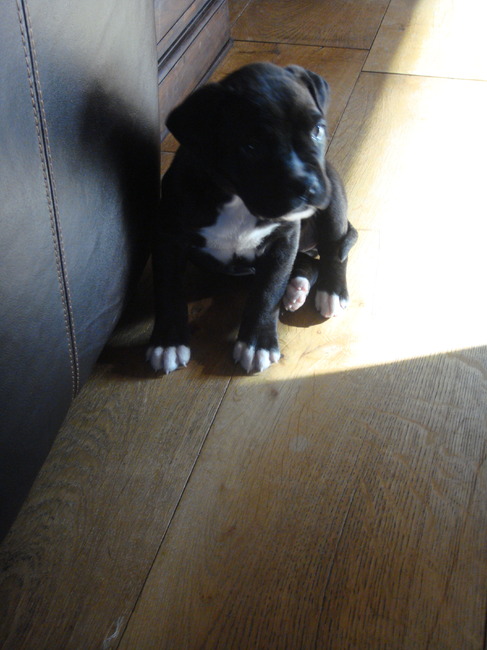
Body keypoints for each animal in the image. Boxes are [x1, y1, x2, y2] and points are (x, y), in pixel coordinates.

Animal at [147, 62, 357, 374]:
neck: (238, 201)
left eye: (318, 130)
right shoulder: (168, 238)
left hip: (331, 201)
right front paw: (168, 343)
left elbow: (267, 291)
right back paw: (296, 288)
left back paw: (330, 292)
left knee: (334, 249)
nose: (306, 186)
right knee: (308, 262)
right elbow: (168, 289)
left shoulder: (283, 240)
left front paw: (258, 343)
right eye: (251, 147)